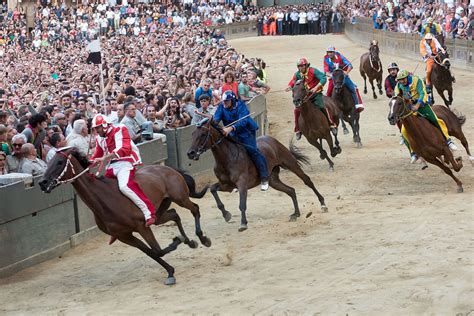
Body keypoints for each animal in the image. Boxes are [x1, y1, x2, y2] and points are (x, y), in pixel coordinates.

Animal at [39, 147, 211, 286]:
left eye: (59, 162)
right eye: (48, 161)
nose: (42, 182)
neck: (106, 198)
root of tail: (167, 168)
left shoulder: (141, 226)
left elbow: (158, 250)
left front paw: (177, 241)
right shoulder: (124, 235)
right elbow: (152, 252)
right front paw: (170, 271)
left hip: (180, 198)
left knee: (195, 209)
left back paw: (203, 239)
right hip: (159, 213)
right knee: (175, 215)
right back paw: (190, 242)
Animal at [187, 118, 328, 232]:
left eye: (203, 134)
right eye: (192, 134)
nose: (190, 153)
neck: (227, 158)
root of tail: (272, 140)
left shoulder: (242, 184)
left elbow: (242, 204)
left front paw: (243, 223)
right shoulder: (226, 185)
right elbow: (212, 189)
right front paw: (226, 214)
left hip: (290, 163)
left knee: (307, 181)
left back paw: (323, 204)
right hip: (273, 180)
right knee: (291, 190)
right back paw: (296, 214)